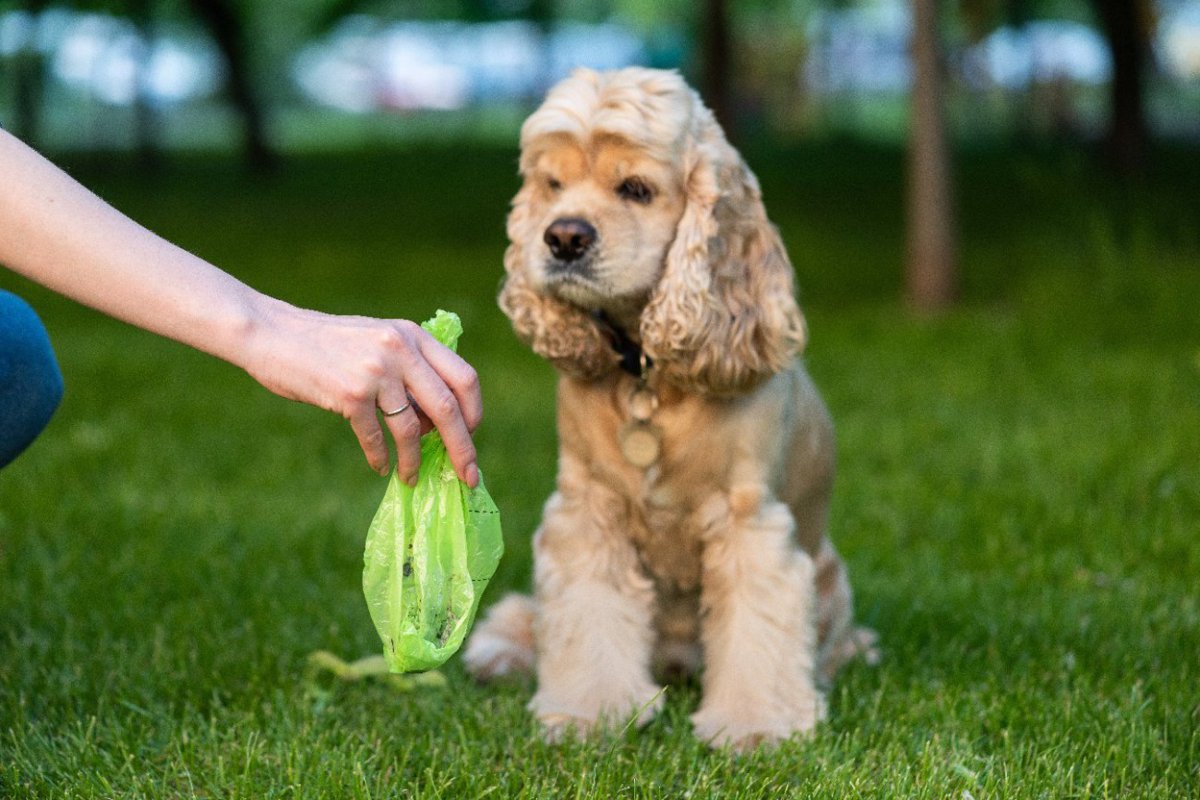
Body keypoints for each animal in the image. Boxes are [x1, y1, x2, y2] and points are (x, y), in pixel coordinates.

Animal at [463, 64, 878, 753]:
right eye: (553, 184)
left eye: (635, 188)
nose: (562, 236)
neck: (648, 375)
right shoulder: (588, 510)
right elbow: (587, 615)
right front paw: (588, 714)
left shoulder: (750, 523)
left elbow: (759, 626)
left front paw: (756, 727)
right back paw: (498, 651)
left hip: (831, 581)